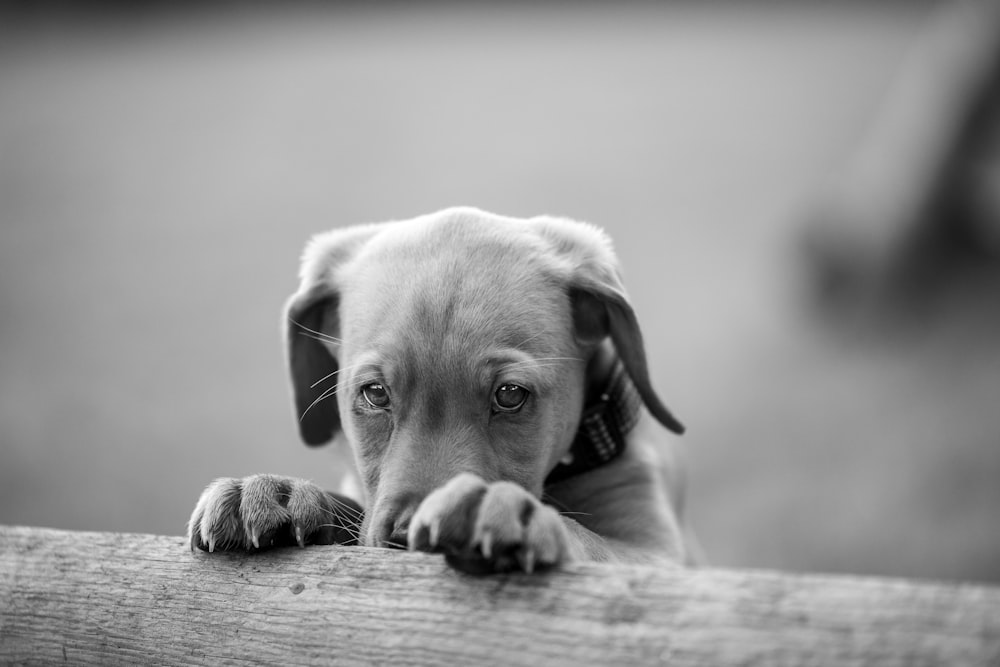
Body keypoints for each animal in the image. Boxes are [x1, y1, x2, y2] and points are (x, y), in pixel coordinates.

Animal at [189, 209, 704, 576]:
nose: (405, 541)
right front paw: (278, 493)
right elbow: (356, 516)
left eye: (510, 395)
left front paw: (503, 511)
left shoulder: (660, 554)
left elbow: (590, 538)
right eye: (375, 394)